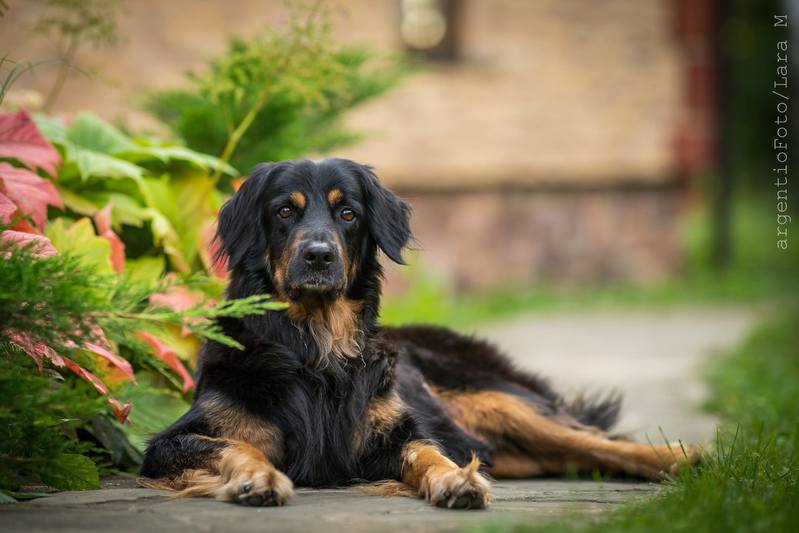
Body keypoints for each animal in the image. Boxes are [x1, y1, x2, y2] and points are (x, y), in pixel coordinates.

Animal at [139, 158, 700, 508]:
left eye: (348, 214)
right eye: (283, 211)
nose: (319, 256)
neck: (316, 348)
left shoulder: (394, 433)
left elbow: (429, 451)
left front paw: (456, 480)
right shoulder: (168, 444)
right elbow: (233, 447)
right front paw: (256, 478)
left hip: (495, 398)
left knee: (594, 440)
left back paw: (680, 457)